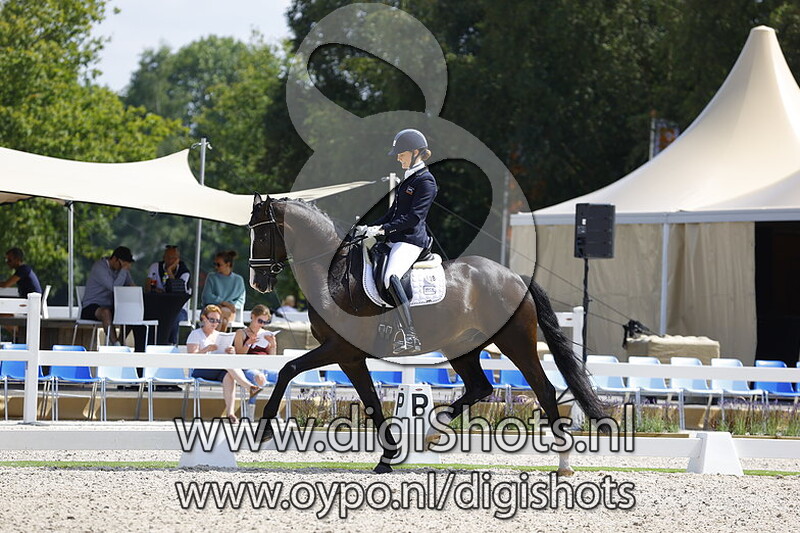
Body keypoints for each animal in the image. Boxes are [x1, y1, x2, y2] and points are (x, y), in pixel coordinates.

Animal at [247, 193, 606, 474]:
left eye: (262, 235)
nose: (257, 283)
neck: (331, 275)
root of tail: (515, 277)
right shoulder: (350, 358)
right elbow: (372, 402)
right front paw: (388, 457)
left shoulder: (340, 348)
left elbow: (288, 368)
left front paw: (263, 430)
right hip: (461, 347)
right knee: (480, 387)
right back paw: (431, 433)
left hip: (515, 341)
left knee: (543, 389)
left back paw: (564, 464)